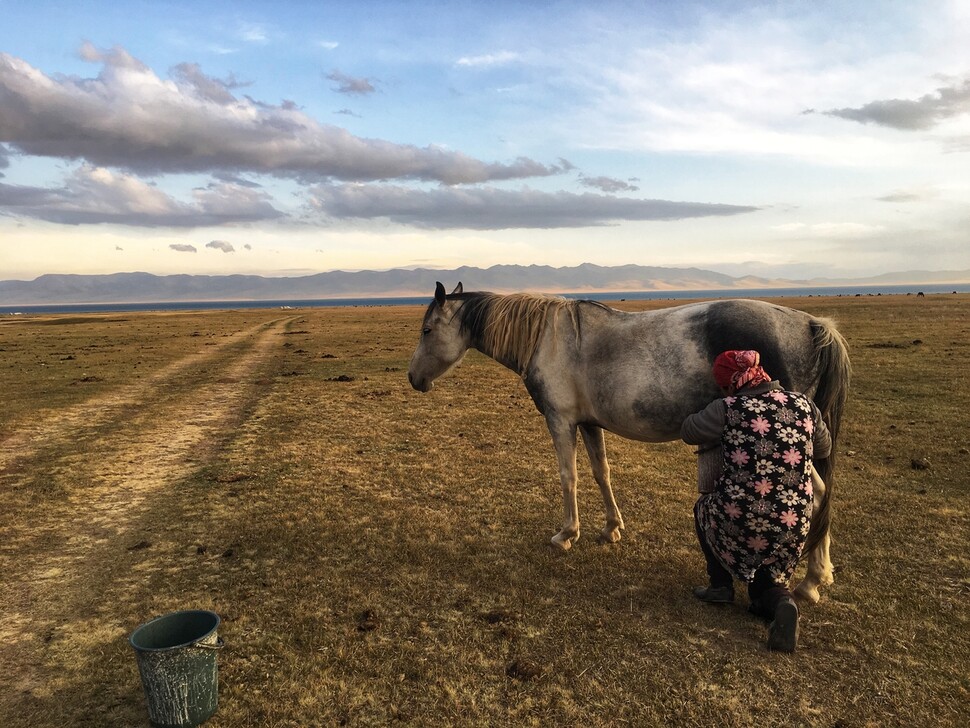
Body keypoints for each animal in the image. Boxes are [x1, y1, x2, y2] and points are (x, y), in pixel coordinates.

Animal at [408, 282, 848, 600]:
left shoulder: (560, 422)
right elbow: (601, 472)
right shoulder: (588, 424)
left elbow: (568, 477)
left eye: (427, 330)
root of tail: (812, 324)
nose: (414, 379)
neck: (547, 339)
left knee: (818, 493)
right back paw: (821, 573)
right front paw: (610, 528)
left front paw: (567, 535)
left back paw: (810, 582)